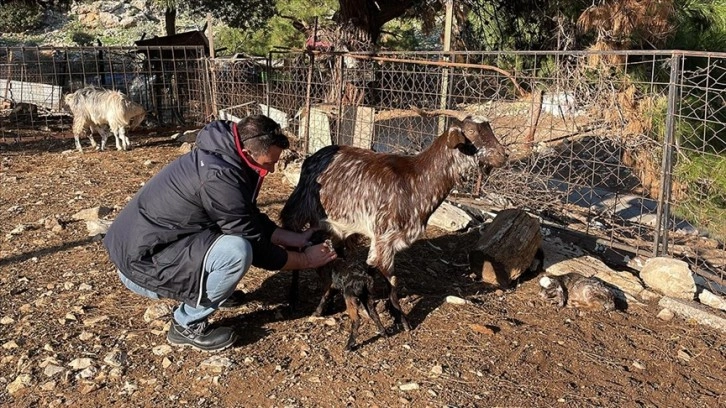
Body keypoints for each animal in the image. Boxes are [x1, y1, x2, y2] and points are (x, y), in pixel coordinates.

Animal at [282, 111, 510, 332]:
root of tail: (313, 157)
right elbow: (391, 279)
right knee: (296, 249)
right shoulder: (384, 237)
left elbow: (376, 272)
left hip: (337, 225)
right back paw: (295, 300)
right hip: (298, 212)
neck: (416, 181)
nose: (503, 155)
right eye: (471, 131)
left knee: (335, 257)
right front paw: (403, 320)